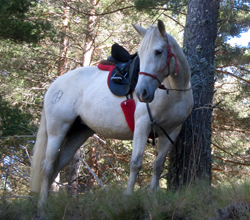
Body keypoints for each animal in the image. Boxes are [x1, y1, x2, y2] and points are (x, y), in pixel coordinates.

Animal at [30, 19, 193, 204]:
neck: (175, 92)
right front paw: (128, 198)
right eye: (141, 55)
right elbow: (135, 163)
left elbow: (158, 166)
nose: (142, 93)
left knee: (57, 165)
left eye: (158, 52)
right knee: (47, 166)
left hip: (77, 133)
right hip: (57, 131)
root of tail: (54, 86)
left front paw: (153, 199)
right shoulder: (142, 125)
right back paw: (42, 204)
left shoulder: (171, 131)